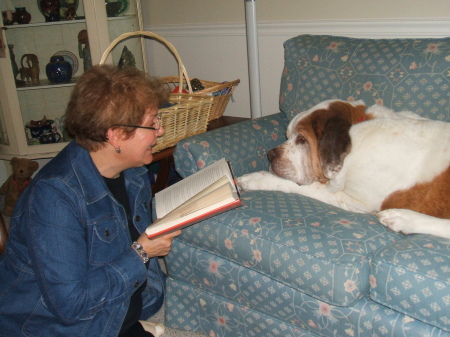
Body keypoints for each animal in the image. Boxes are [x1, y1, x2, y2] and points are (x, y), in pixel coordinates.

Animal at [236, 100, 450, 239]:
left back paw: (401, 218)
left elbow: (300, 185)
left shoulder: (354, 201)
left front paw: (252, 179)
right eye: (287, 135)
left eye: (302, 139)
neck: (355, 137)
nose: (270, 155)